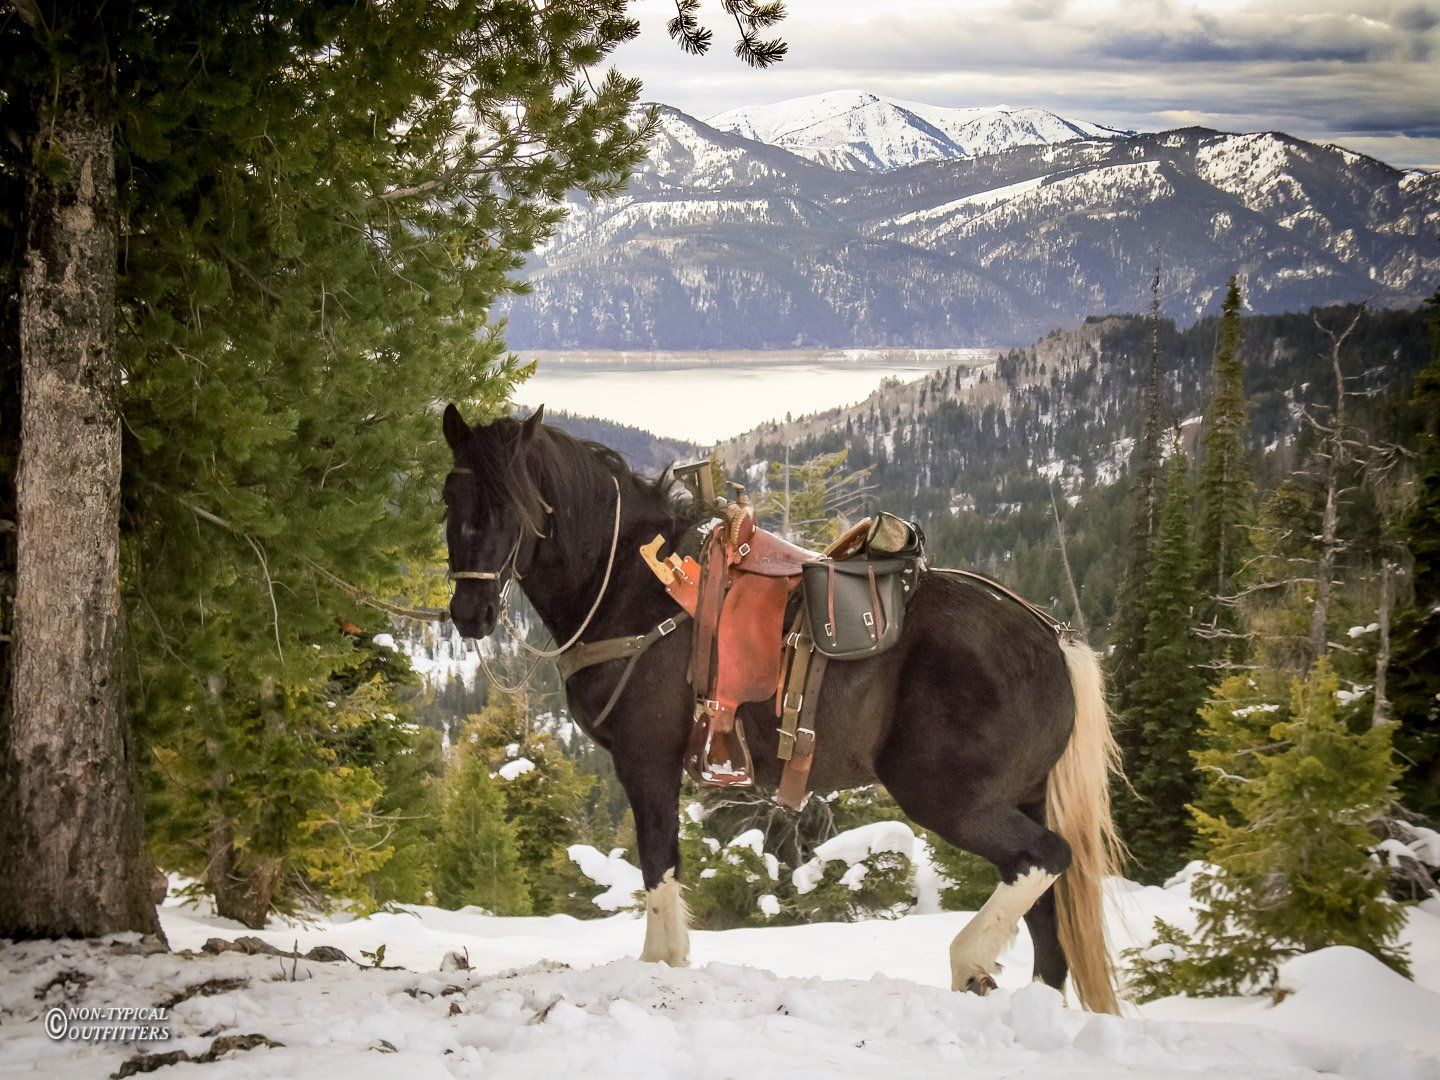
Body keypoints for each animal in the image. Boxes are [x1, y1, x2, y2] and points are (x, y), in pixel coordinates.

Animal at [440, 403, 1124, 1013]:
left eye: (511, 504)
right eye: (451, 499)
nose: (469, 615)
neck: (636, 587)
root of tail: (1052, 638)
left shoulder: (645, 759)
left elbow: (658, 858)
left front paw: (661, 961)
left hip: (948, 794)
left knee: (1045, 858)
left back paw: (970, 962)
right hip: (1022, 794)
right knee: (1045, 916)